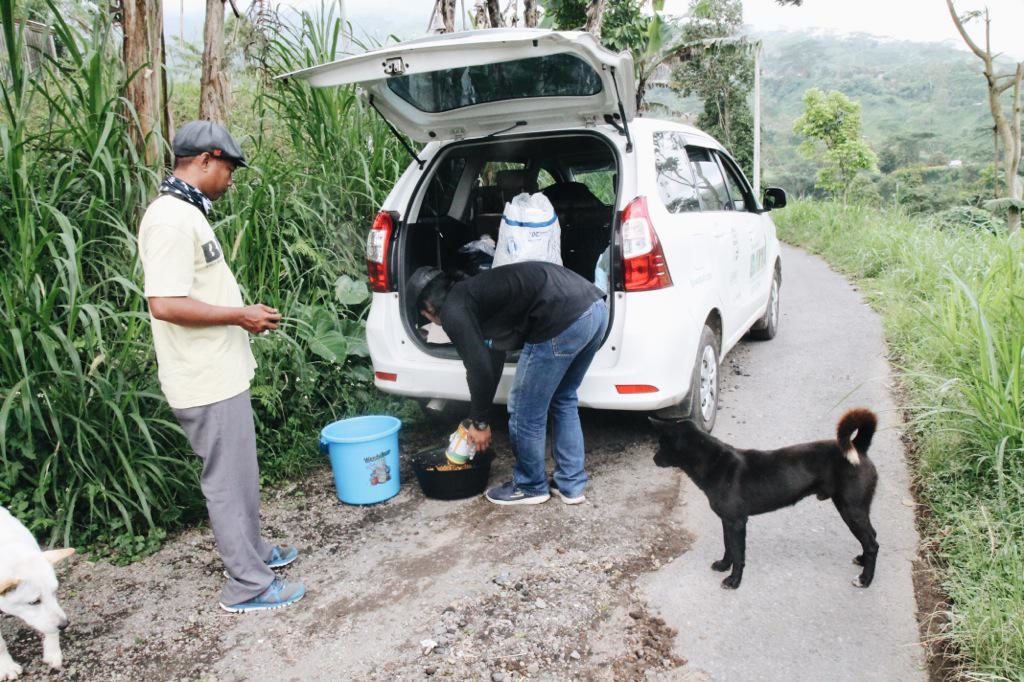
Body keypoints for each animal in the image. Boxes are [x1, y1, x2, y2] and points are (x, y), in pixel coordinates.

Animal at [655, 405, 880, 585]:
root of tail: (859, 447)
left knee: (872, 544)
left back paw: (865, 579)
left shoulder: (737, 522)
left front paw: (734, 580)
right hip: (858, 509)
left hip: (851, 509)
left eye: (661, 445)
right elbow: (728, 546)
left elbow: (738, 553)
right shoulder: (727, 521)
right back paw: (862, 561)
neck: (714, 461)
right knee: (871, 537)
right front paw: (723, 565)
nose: (654, 459)